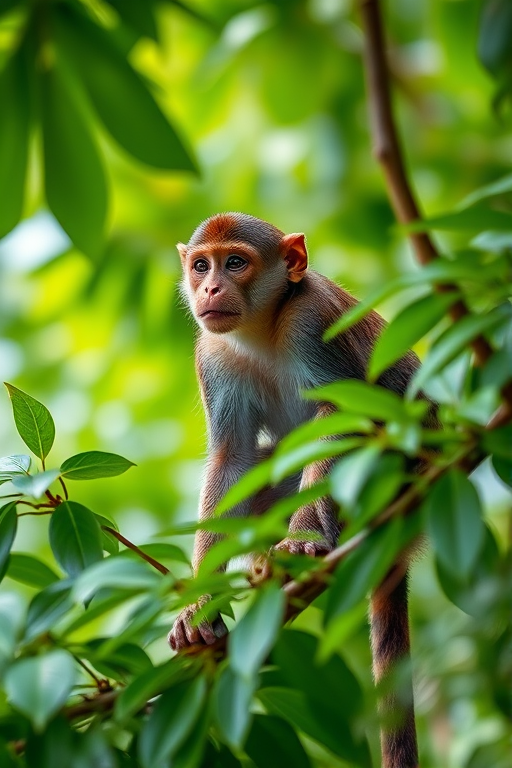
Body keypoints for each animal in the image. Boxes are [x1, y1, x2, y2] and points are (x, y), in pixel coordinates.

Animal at [169, 212, 424, 768]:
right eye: (201, 266)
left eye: (235, 262)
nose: (210, 288)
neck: (261, 330)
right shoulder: (212, 354)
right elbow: (233, 460)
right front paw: (203, 599)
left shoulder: (313, 320)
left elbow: (342, 412)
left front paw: (301, 540)